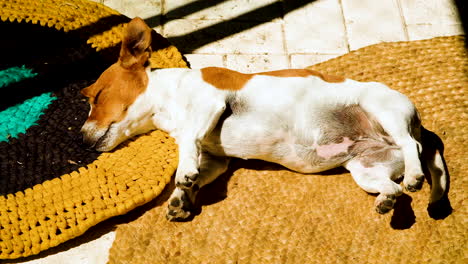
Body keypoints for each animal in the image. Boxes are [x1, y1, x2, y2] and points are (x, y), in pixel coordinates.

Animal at [81, 17, 450, 221]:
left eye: (96, 97)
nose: (81, 139)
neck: (170, 99)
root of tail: (421, 129)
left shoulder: (210, 102)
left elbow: (187, 144)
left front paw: (183, 176)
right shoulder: (216, 160)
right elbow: (197, 173)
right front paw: (180, 199)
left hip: (383, 111)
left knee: (412, 148)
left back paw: (414, 174)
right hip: (365, 170)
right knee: (394, 187)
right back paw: (389, 199)